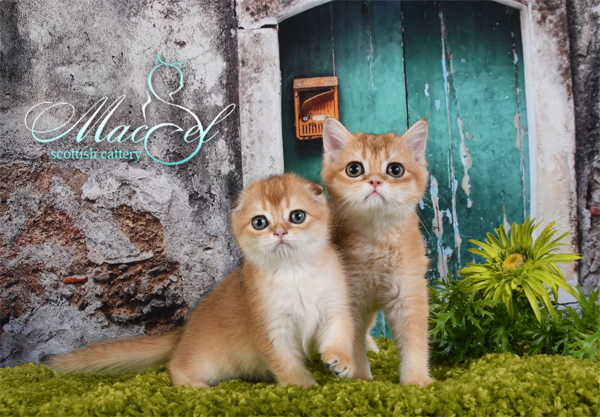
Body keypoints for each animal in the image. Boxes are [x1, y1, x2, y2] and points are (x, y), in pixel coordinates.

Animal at [42, 174, 356, 388]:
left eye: (297, 216)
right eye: (260, 222)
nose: (279, 232)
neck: (294, 271)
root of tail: (183, 332)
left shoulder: (334, 309)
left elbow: (339, 336)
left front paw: (343, 362)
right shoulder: (271, 329)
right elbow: (288, 365)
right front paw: (304, 388)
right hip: (207, 361)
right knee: (175, 365)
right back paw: (192, 384)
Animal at [320, 118, 433, 387]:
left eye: (395, 170)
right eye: (354, 169)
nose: (374, 181)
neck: (378, 239)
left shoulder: (409, 295)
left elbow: (414, 342)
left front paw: (416, 380)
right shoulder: (350, 300)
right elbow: (352, 341)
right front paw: (360, 378)